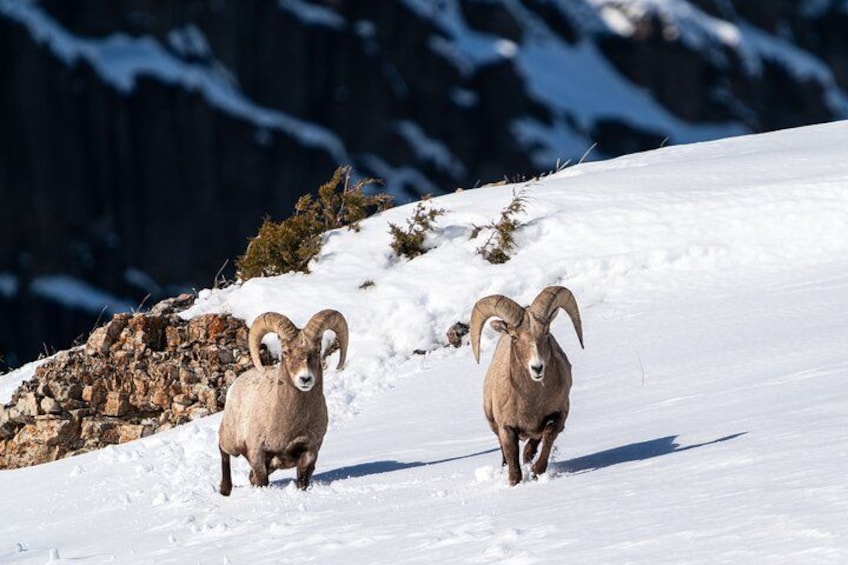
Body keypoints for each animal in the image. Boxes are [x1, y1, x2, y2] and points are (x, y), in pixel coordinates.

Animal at [218, 309, 348, 495]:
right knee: (223, 452)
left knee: (250, 477)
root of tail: (236, 384)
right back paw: (225, 490)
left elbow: (302, 480)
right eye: (285, 352)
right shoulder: (257, 454)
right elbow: (262, 481)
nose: (305, 379)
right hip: (231, 441)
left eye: (317, 351)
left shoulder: (309, 452)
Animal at [470, 286, 584, 485]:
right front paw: (515, 482)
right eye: (514, 337)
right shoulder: (506, 429)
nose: (537, 368)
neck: (531, 402)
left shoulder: (559, 416)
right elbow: (513, 464)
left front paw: (536, 471)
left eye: (546, 332)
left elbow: (547, 436)